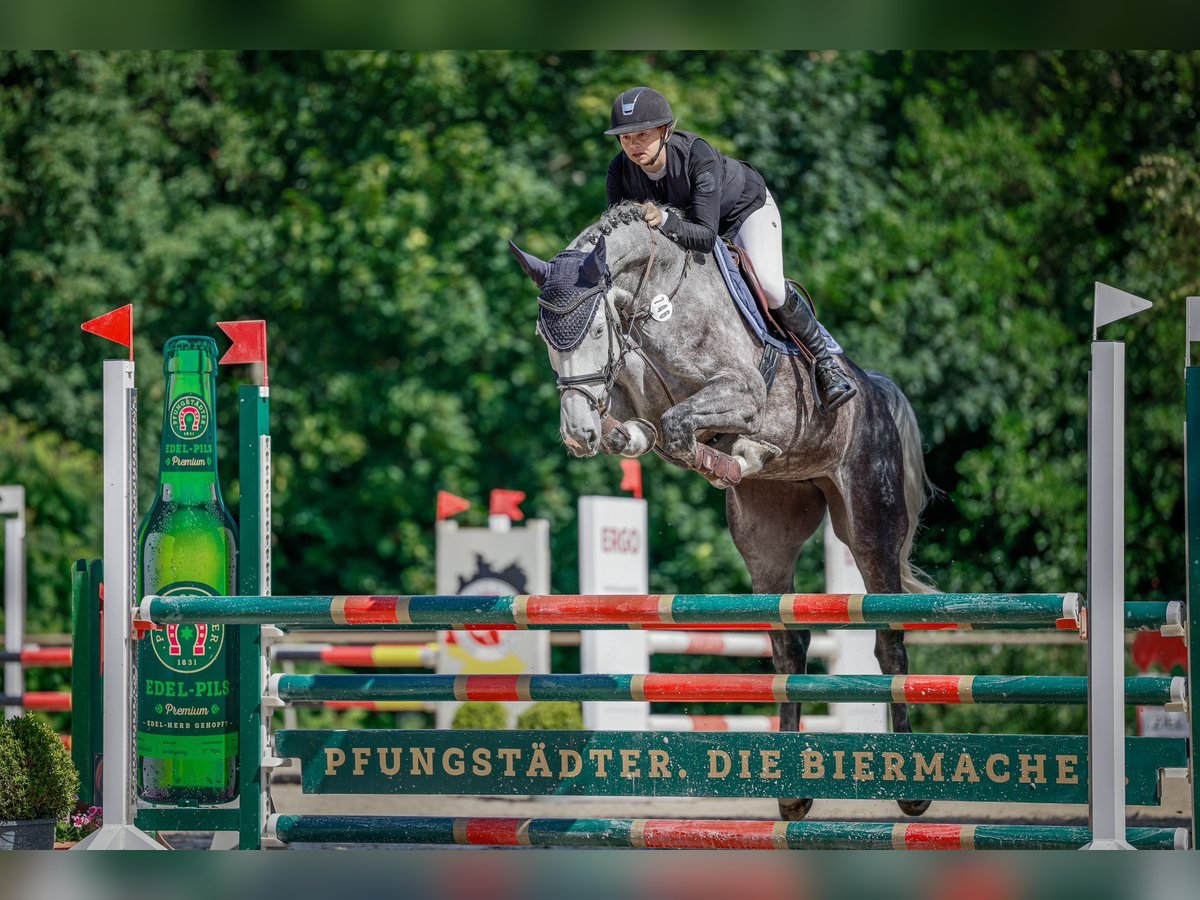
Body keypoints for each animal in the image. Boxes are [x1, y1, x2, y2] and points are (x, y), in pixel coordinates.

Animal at [506, 200, 936, 820]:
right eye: (545, 337)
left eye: (595, 329)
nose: (577, 434)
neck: (651, 301)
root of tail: (877, 387)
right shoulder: (632, 396)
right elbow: (645, 432)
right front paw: (701, 450)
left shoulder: (740, 390)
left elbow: (679, 425)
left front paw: (734, 452)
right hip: (767, 536)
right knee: (790, 648)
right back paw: (793, 795)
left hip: (869, 527)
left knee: (889, 643)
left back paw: (910, 789)